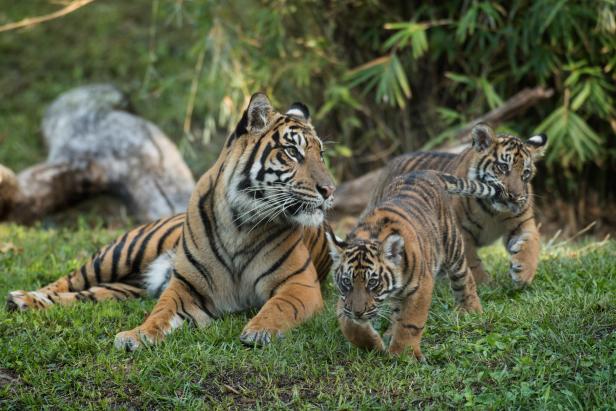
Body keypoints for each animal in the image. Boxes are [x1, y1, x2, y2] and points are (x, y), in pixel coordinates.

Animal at [7, 94, 334, 350]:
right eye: (292, 152)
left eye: (321, 154)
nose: (330, 190)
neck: (241, 223)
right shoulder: (187, 287)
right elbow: (160, 313)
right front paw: (136, 336)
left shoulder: (299, 284)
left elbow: (279, 307)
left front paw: (258, 330)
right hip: (119, 254)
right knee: (69, 280)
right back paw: (23, 298)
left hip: (122, 288)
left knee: (84, 295)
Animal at [370, 124, 548, 286]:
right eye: (503, 166)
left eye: (525, 173)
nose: (515, 196)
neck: (494, 211)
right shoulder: (459, 231)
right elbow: (471, 260)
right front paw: (483, 283)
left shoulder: (522, 224)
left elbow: (531, 244)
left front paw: (523, 273)